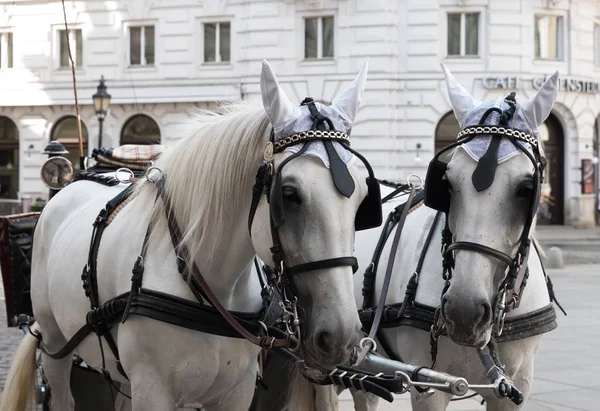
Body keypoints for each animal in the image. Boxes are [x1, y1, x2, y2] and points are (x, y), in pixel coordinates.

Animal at [0, 61, 372, 411]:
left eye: (364, 198)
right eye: (289, 194)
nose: (340, 337)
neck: (211, 288)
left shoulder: (236, 393)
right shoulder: (152, 390)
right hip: (55, 345)